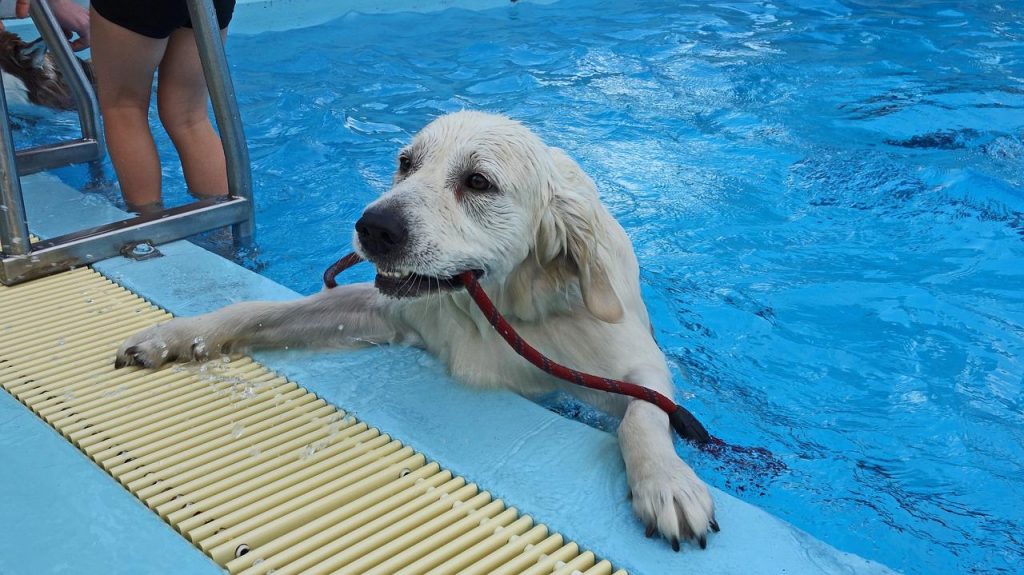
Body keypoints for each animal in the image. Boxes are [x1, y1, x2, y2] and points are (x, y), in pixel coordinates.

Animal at [114, 108, 720, 544]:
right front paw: (175, 335)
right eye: (406, 162)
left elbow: (643, 414)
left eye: (478, 181)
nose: (373, 226)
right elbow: (259, 310)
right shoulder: (385, 311)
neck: (495, 306)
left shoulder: (630, 362)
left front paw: (667, 482)